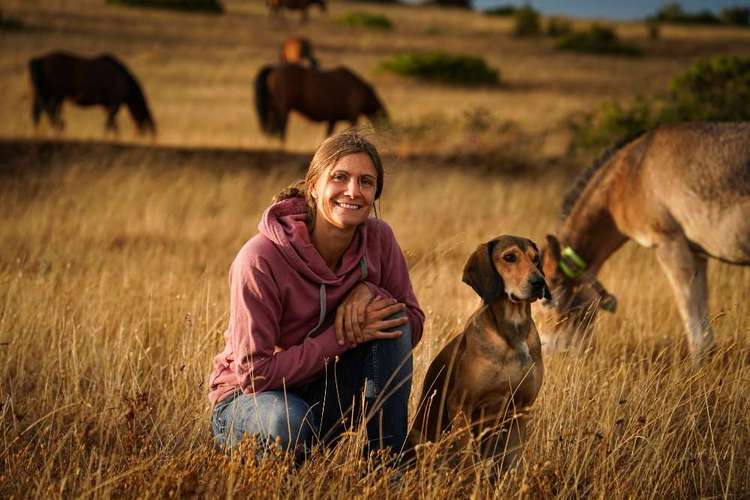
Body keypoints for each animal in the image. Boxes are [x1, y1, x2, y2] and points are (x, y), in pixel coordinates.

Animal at [29, 50, 157, 135]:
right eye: (143, 117)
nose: (140, 134)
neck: (122, 77)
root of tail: (40, 60)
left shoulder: (107, 105)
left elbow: (113, 125)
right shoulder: (115, 103)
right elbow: (110, 123)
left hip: (43, 95)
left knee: (38, 113)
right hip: (56, 96)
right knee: (50, 111)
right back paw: (58, 128)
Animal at [256, 63, 390, 141]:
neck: (359, 89)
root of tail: (274, 68)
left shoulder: (332, 120)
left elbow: (328, 135)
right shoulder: (353, 117)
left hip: (273, 109)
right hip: (283, 109)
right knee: (281, 128)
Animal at [412, 236, 548, 466]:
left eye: (535, 258)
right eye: (509, 257)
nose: (539, 283)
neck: (513, 331)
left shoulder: (521, 410)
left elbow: (513, 461)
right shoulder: (461, 405)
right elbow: (467, 459)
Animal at [532, 123, 750, 362]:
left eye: (545, 300)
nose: (546, 353)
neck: (632, 175)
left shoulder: (669, 244)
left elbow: (694, 326)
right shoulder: (697, 254)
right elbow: (704, 324)